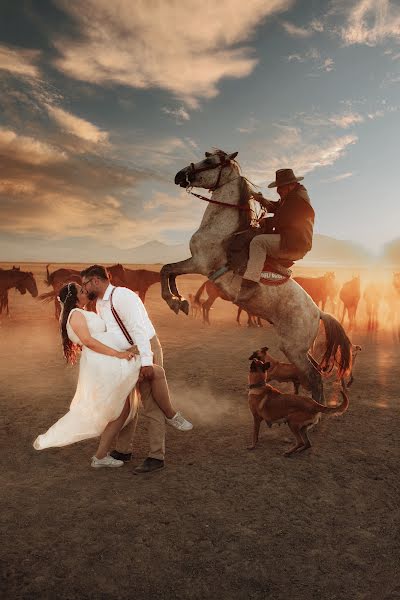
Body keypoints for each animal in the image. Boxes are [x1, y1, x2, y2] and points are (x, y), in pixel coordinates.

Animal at [161, 150, 352, 404]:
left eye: (210, 161)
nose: (180, 175)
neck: (222, 231)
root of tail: (318, 312)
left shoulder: (199, 263)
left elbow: (166, 269)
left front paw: (174, 301)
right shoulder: (196, 264)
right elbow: (170, 272)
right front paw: (179, 301)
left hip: (293, 349)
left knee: (315, 377)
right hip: (301, 349)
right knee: (314, 375)